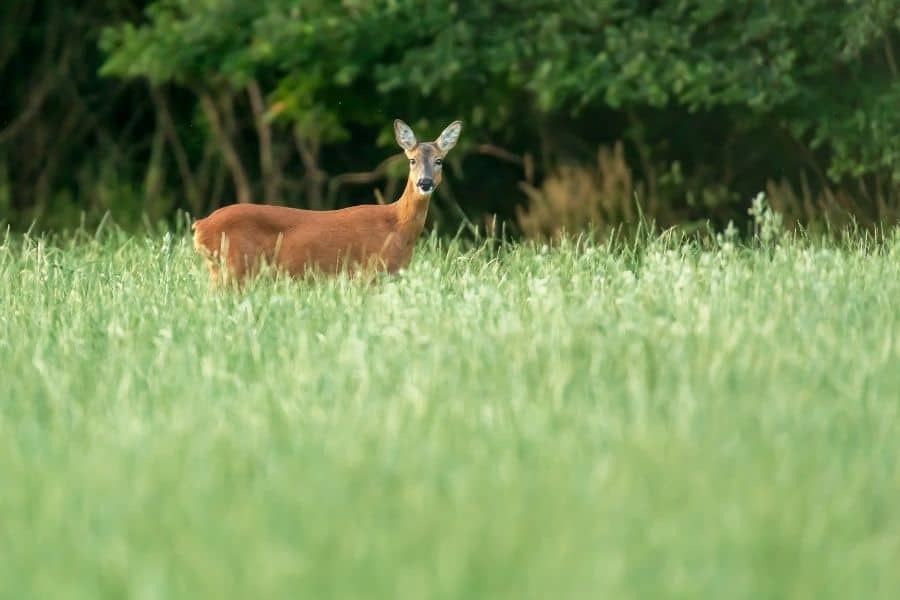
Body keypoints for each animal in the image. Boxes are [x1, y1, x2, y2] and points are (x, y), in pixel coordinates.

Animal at [195, 119, 464, 286]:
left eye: (439, 160)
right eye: (412, 160)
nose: (425, 182)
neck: (397, 226)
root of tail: (199, 226)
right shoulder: (369, 271)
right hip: (234, 266)